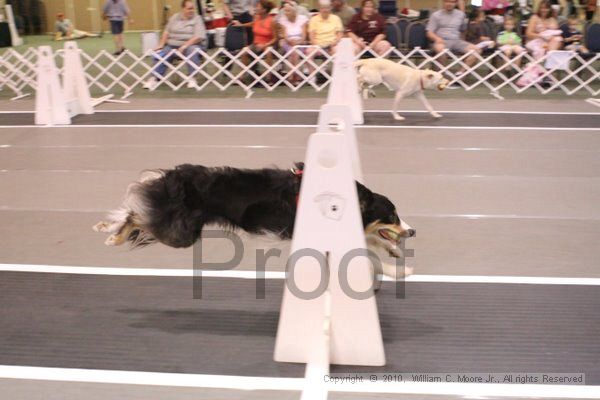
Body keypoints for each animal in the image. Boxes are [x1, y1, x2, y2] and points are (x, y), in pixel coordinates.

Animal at [94, 162, 414, 278]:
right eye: (392, 216)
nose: (412, 232)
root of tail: (173, 176)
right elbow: (368, 256)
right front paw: (401, 271)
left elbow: (369, 242)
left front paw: (394, 252)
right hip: (182, 233)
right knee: (139, 214)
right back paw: (112, 233)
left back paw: (109, 227)